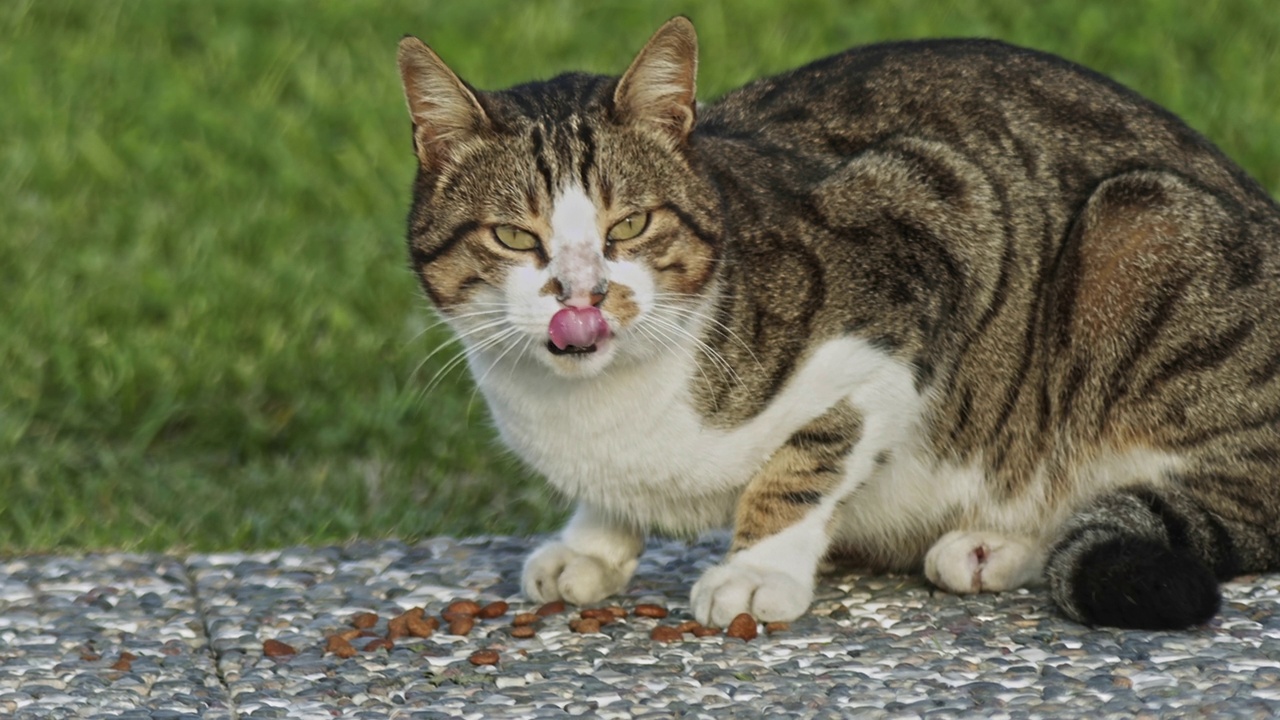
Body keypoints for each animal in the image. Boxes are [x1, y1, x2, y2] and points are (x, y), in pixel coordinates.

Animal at [394, 14, 1280, 625]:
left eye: (631, 226)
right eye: (515, 236)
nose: (582, 295)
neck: (597, 410)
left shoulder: (931, 228)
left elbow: (810, 454)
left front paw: (758, 571)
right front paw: (592, 543)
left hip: (1136, 232)